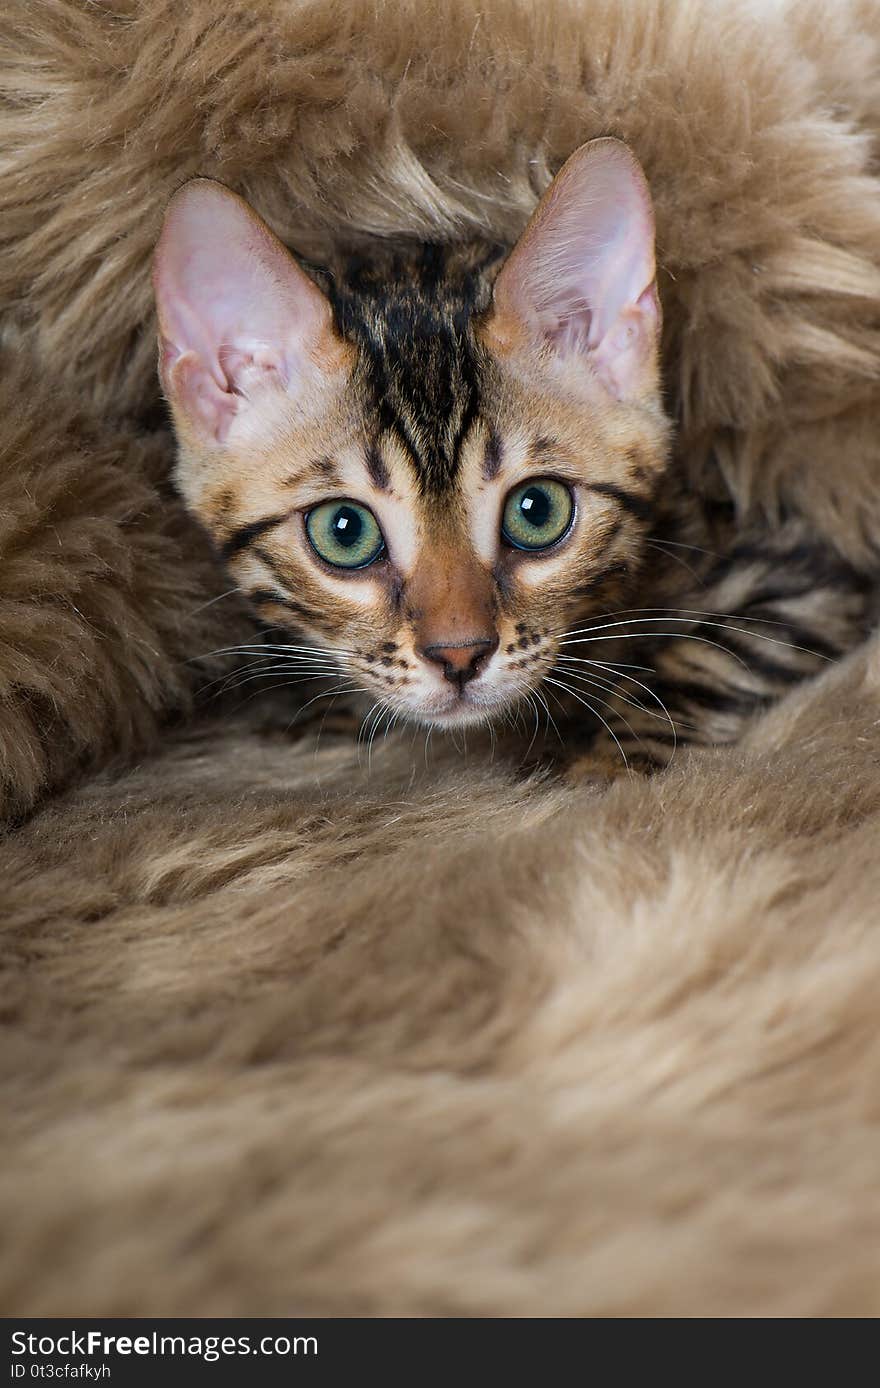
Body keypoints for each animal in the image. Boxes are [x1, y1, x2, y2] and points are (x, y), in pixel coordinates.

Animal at [152, 138, 871, 771]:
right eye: (344, 530)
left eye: (536, 511)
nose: (459, 656)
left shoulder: (813, 569)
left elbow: (704, 658)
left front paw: (604, 767)